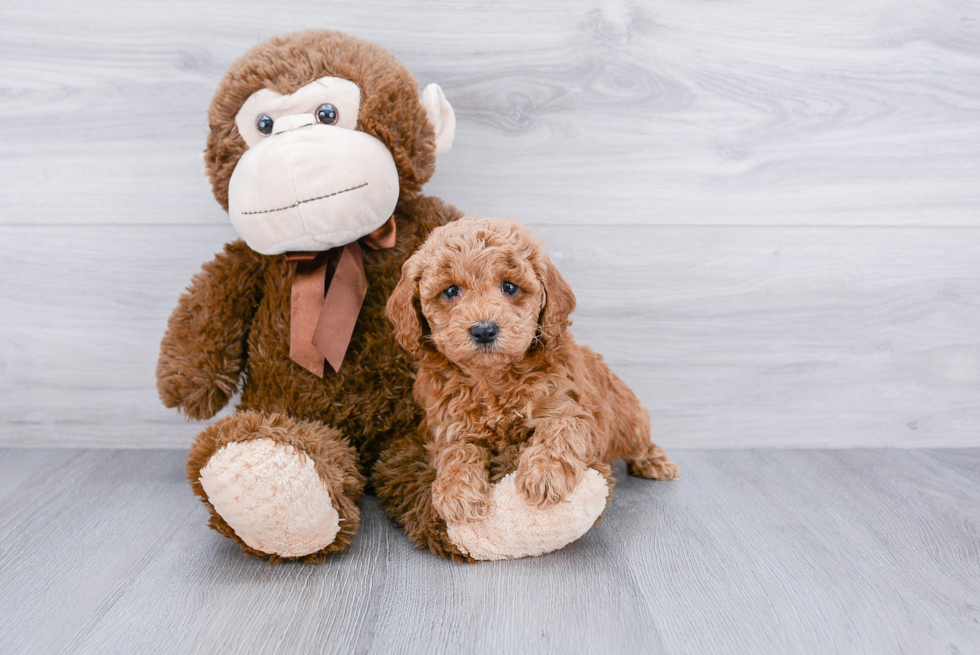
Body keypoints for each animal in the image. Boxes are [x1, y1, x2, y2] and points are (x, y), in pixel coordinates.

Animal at [386, 215, 676, 544]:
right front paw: (457, 491)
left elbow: (558, 430)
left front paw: (545, 475)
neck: (492, 378)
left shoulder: (571, 408)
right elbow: (456, 450)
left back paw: (657, 462)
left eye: (510, 287)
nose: (484, 330)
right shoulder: (447, 425)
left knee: (641, 440)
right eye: (450, 291)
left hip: (628, 420)